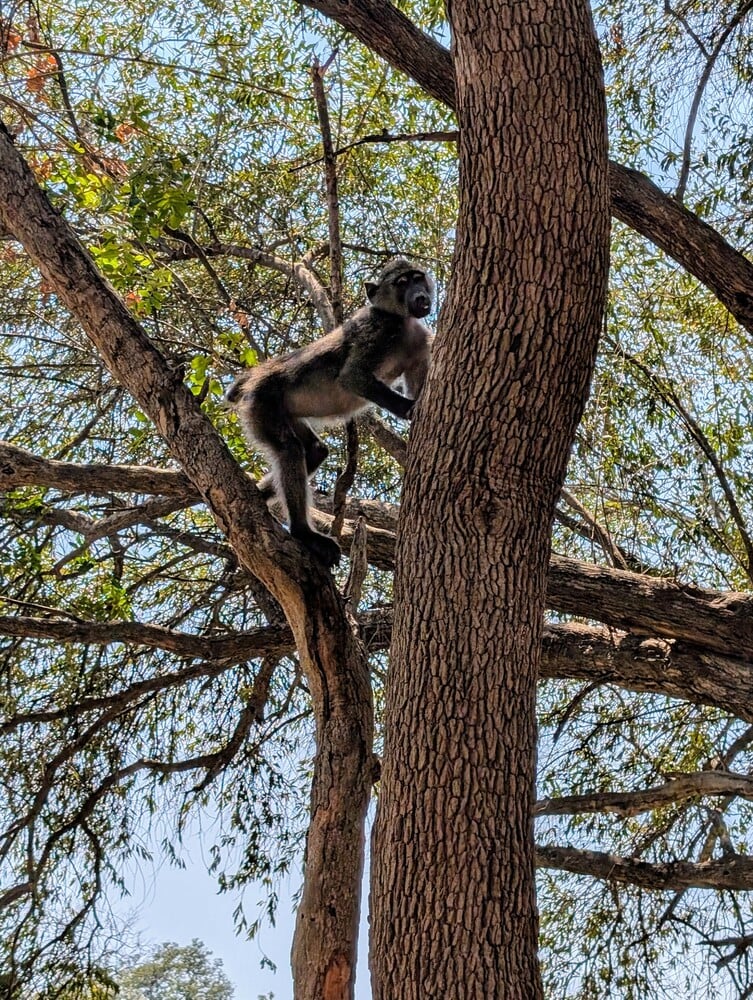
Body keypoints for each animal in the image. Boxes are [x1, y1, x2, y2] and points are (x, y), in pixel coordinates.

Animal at [226, 258, 435, 568]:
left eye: (418, 278)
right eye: (402, 283)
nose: (420, 296)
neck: (401, 321)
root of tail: (256, 377)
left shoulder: (420, 342)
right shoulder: (377, 331)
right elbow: (352, 377)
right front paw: (408, 409)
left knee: (314, 451)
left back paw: (262, 496)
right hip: (263, 402)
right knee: (289, 449)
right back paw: (303, 533)